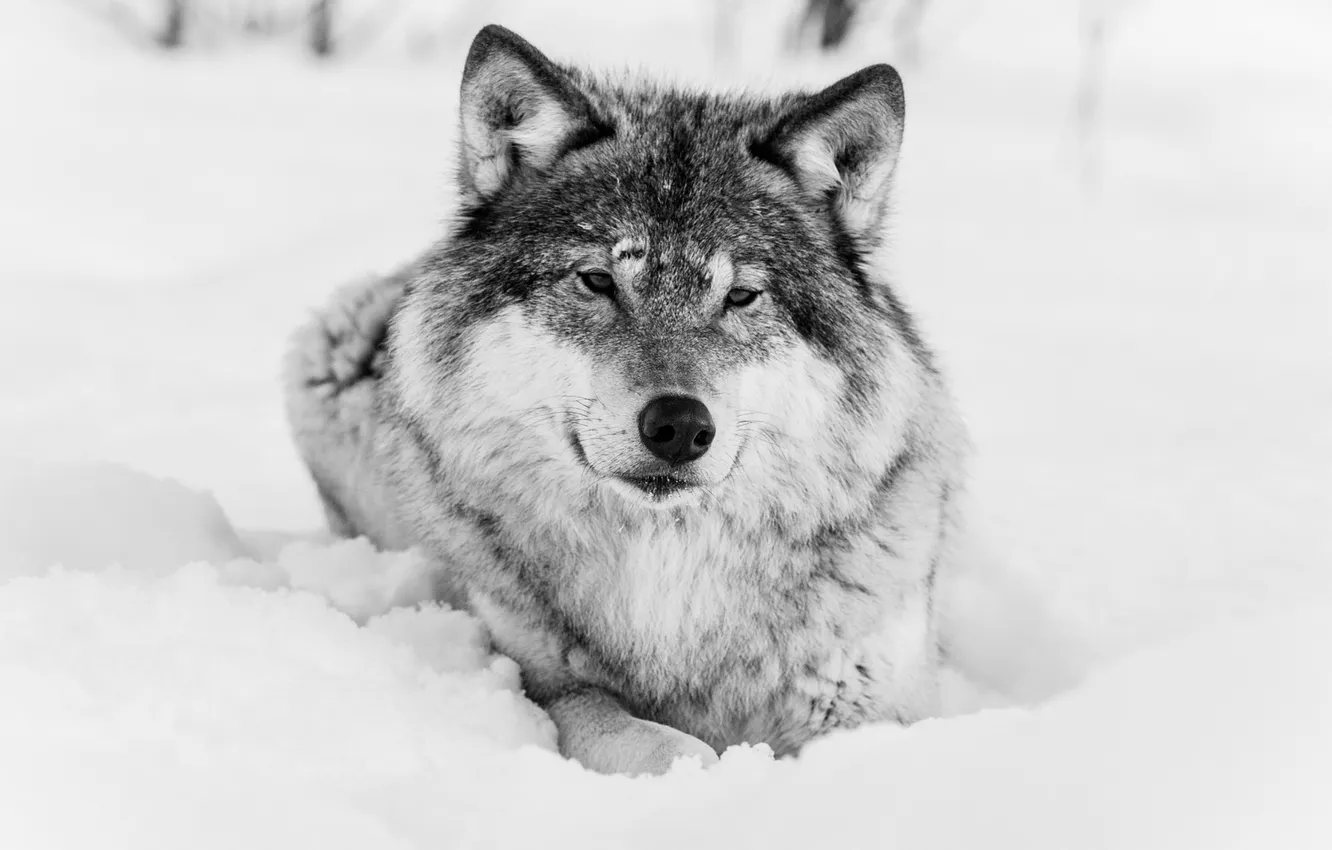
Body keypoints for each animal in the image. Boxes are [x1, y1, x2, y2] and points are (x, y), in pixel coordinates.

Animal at [284, 24, 969, 776]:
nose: (680, 426)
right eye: (598, 282)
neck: (668, 573)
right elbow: (661, 743)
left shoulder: (875, 701)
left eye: (741, 296)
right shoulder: (541, 677)